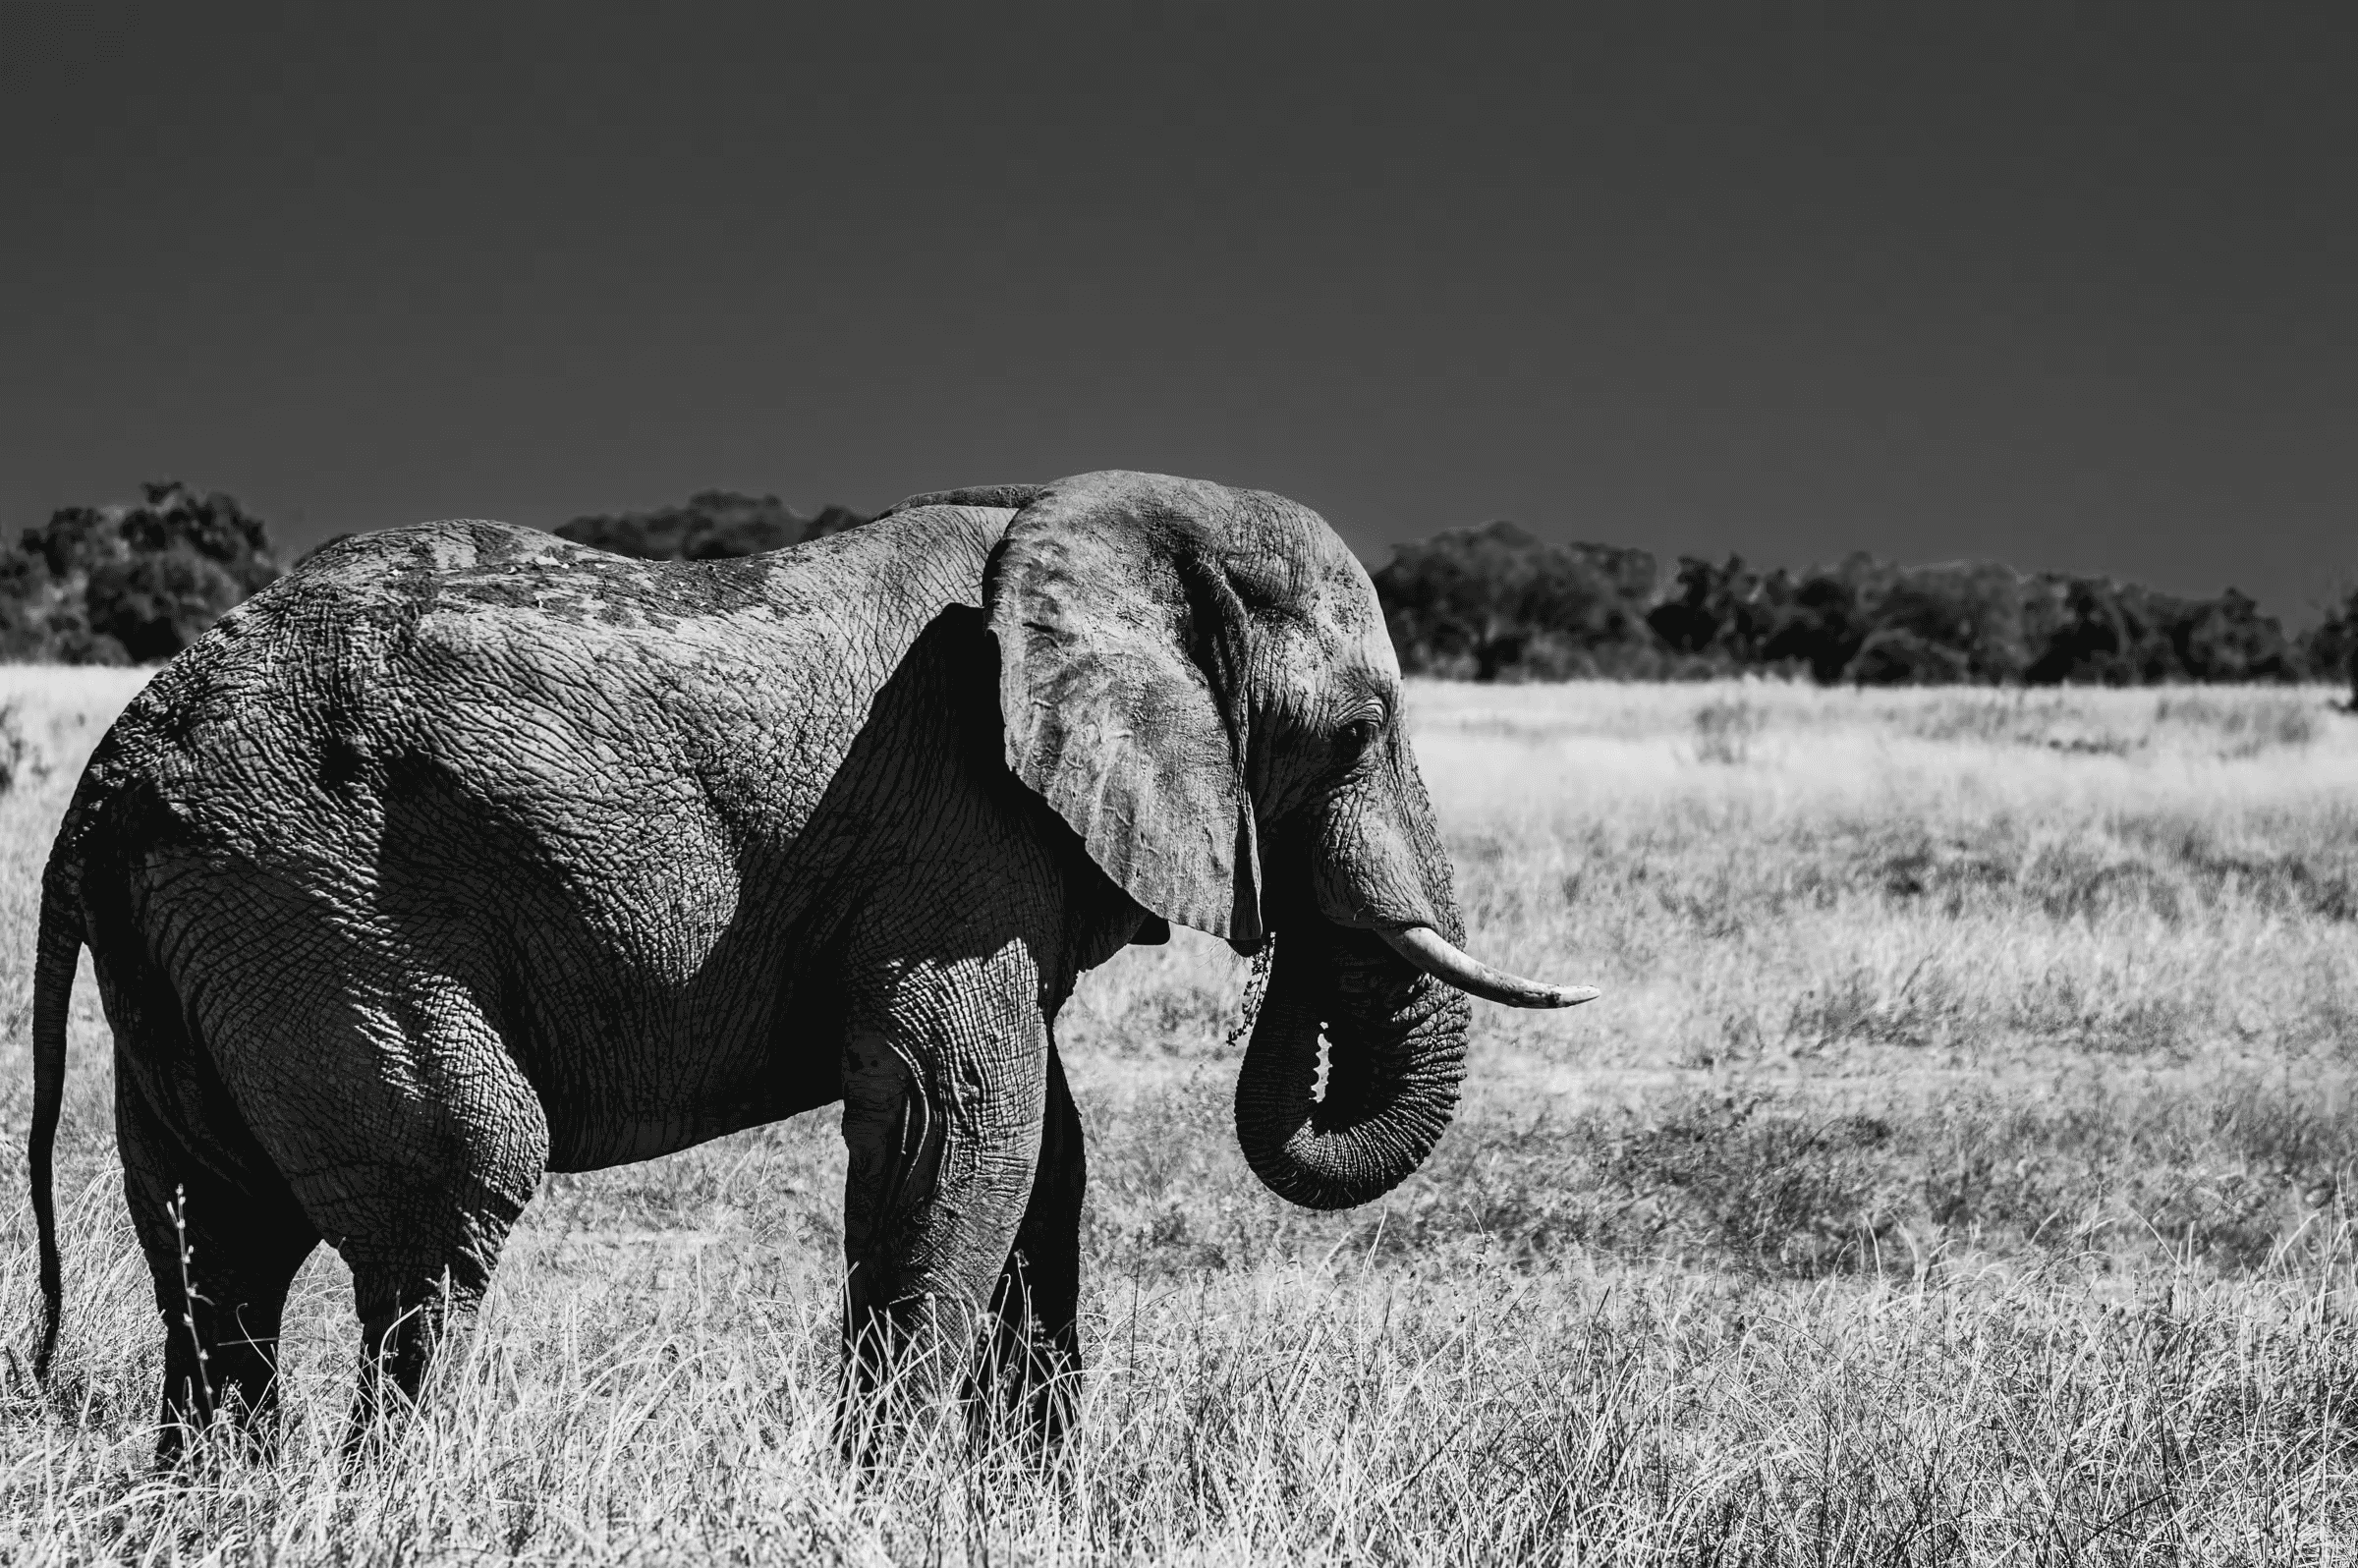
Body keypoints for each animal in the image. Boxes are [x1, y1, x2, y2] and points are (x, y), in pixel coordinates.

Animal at [25, 469, 1593, 1460]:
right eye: (1353, 735)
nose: (1286, 954)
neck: (1087, 516)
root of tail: (108, 774)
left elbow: (1047, 1152)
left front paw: (1021, 1503)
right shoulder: (954, 825)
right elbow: (965, 1120)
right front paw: (882, 1497)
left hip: (213, 934)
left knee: (220, 1237)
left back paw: (222, 1505)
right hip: (313, 898)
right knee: (452, 1187)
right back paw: (397, 1502)